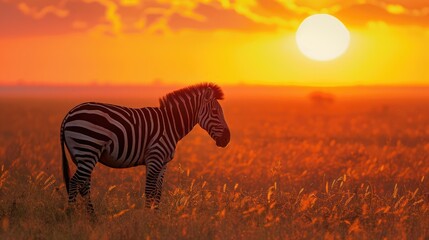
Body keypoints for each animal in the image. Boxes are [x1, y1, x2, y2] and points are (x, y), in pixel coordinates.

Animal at [60, 83, 231, 214]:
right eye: (215, 112)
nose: (227, 139)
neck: (170, 124)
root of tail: (69, 113)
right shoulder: (155, 157)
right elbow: (149, 190)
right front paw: (147, 219)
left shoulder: (163, 163)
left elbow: (158, 192)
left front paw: (156, 218)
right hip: (88, 149)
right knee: (75, 182)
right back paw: (71, 216)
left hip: (81, 155)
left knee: (83, 185)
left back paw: (92, 218)